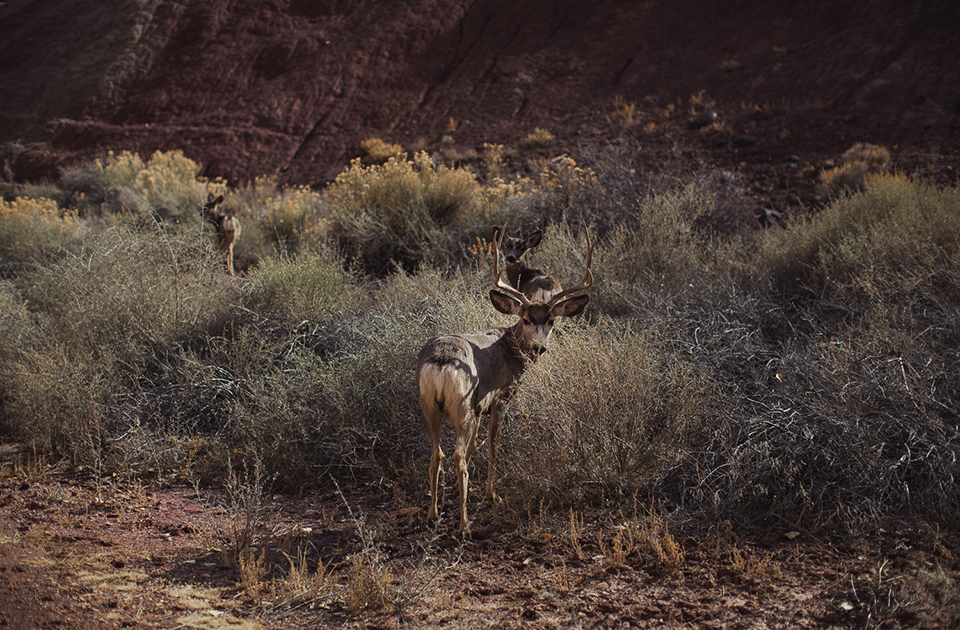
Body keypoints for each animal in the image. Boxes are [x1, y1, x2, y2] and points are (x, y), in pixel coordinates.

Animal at [418, 227, 592, 532]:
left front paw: (458, 490)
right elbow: (493, 445)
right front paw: (492, 494)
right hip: (461, 406)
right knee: (456, 455)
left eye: (551, 321)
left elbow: (475, 445)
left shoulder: (478, 407)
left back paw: (433, 514)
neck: (509, 347)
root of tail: (439, 363)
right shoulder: (500, 398)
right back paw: (464, 524)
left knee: (436, 454)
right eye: (525, 319)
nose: (539, 347)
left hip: (429, 406)